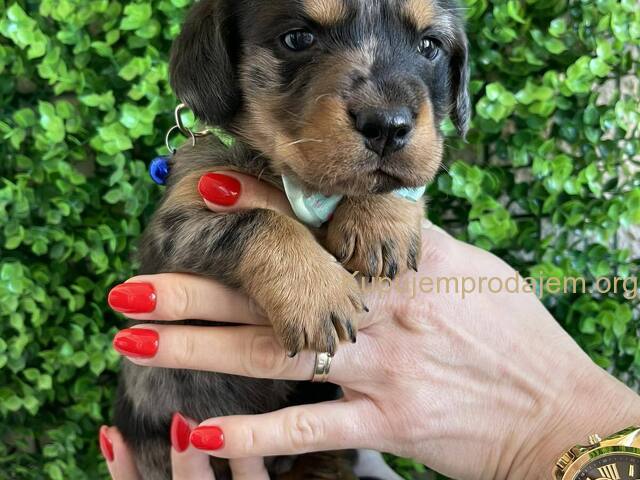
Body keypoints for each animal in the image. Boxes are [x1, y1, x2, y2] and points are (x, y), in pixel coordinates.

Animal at [114, 0, 469, 478]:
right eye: (298, 39)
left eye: (429, 46)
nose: (387, 126)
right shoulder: (177, 224)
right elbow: (260, 221)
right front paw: (314, 292)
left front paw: (380, 221)